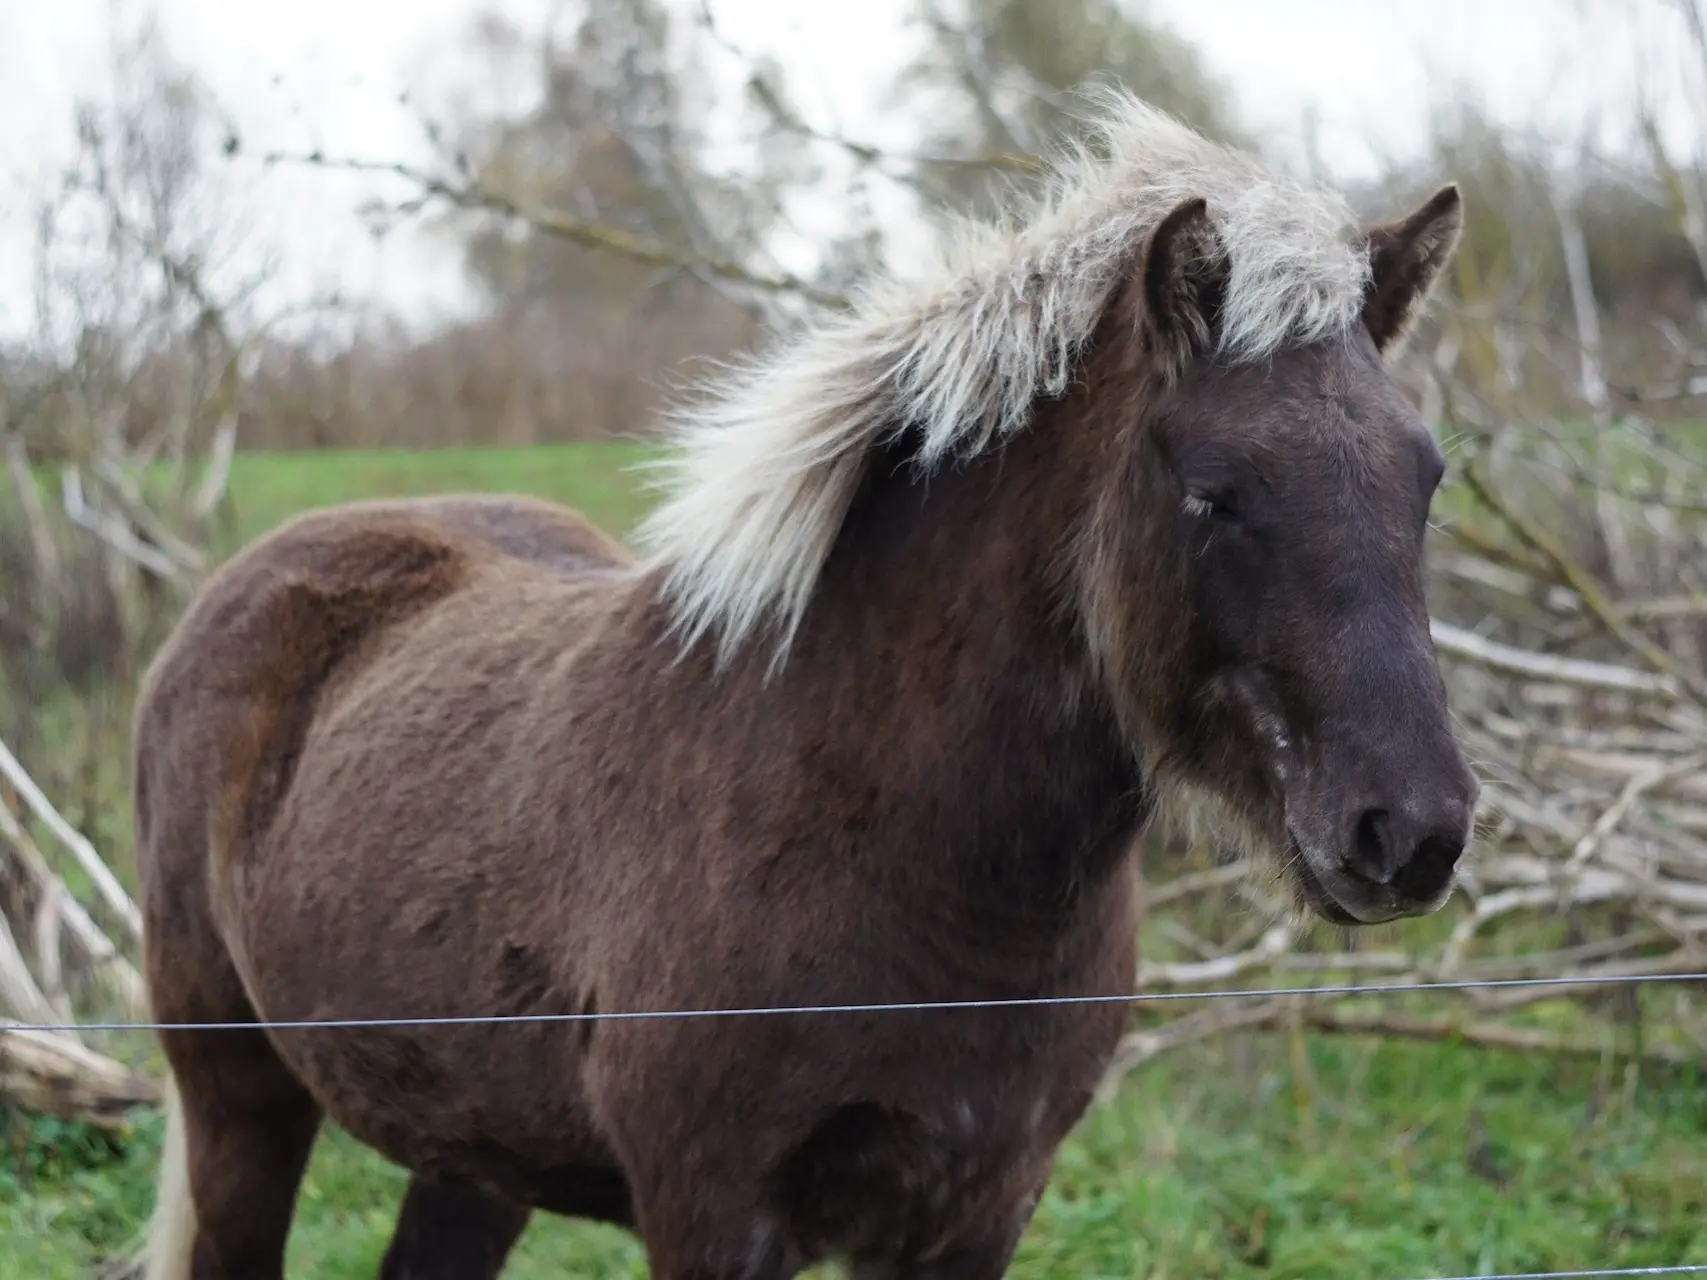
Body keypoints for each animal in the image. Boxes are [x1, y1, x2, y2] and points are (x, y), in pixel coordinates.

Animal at [129, 92, 1481, 1280]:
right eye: (1213, 495)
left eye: (1425, 479)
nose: (1410, 828)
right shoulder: (715, 1212)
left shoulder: (975, 1214)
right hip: (238, 1098)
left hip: (467, 1147)